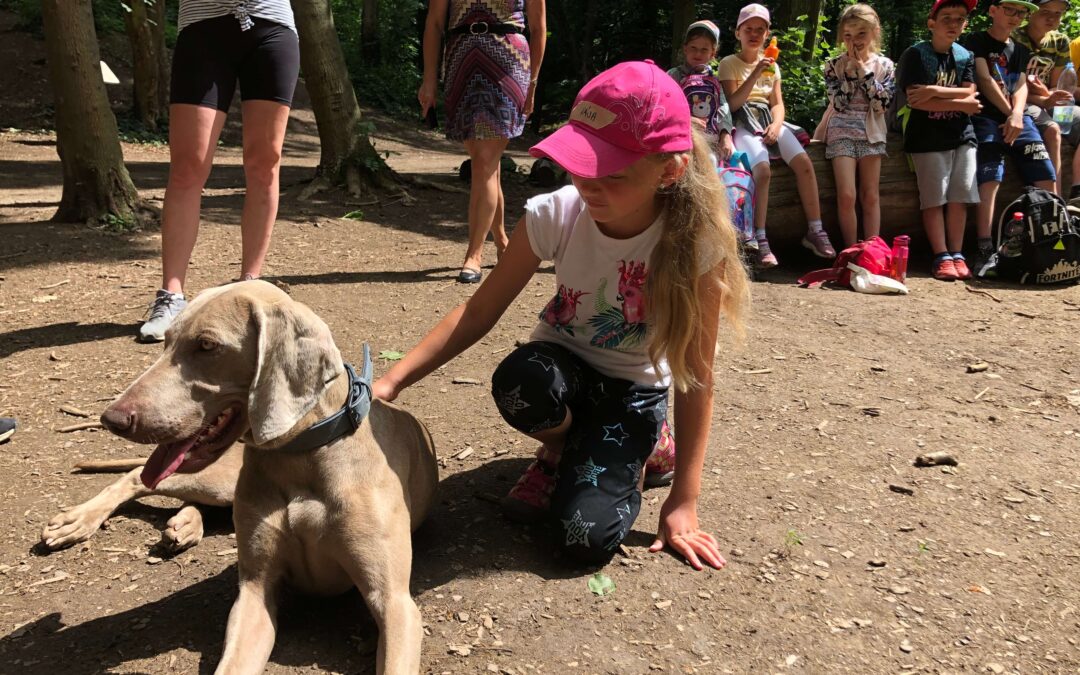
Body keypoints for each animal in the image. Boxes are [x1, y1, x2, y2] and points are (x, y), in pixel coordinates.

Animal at [45, 280, 434, 669]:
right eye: (166, 340)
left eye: (207, 345)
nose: (111, 418)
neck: (302, 456)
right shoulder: (255, 589)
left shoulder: (394, 602)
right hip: (214, 478)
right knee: (138, 476)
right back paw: (77, 521)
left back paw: (184, 525)